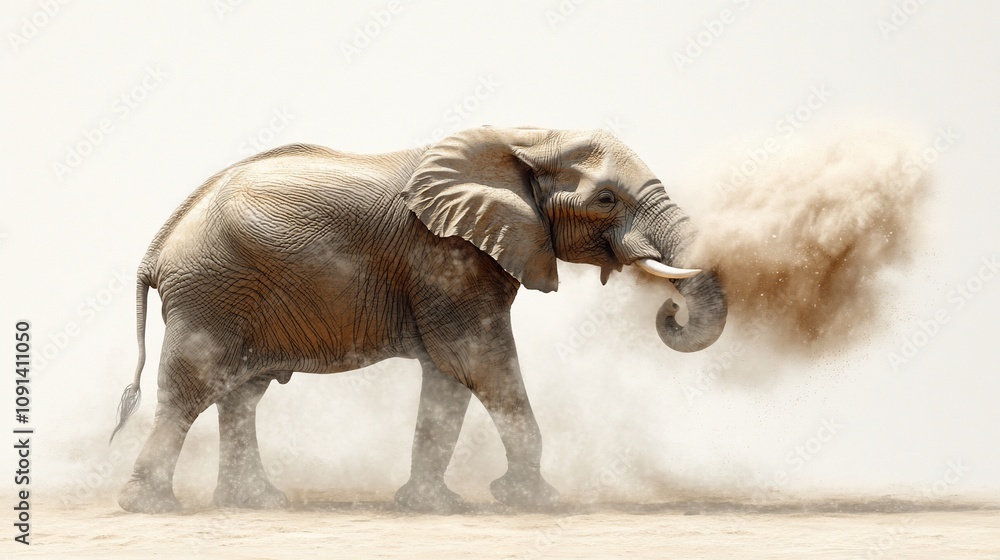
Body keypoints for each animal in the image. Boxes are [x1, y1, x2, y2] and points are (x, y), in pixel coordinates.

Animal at [110, 126, 727, 513]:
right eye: (605, 199)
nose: (670, 307)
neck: (524, 138)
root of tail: (159, 247)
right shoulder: (446, 257)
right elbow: (480, 362)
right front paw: (532, 500)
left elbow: (448, 379)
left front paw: (432, 506)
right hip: (210, 292)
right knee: (192, 390)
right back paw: (153, 507)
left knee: (241, 396)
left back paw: (255, 503)